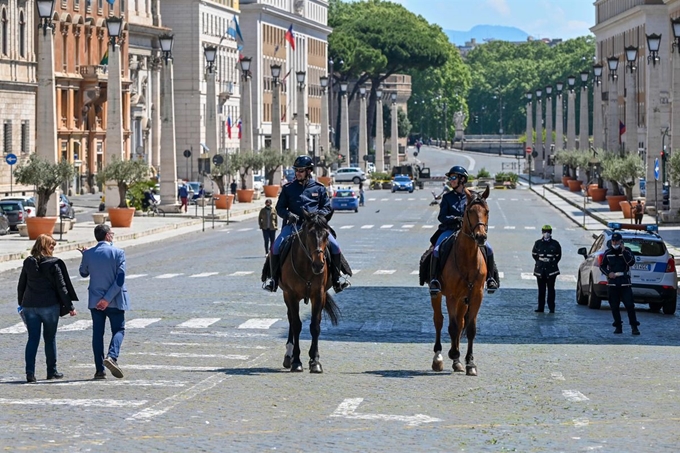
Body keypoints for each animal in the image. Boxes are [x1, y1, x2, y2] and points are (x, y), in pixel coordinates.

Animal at [278, 210, 340, 372]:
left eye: (326, 234)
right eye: (310, 234)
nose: (318, 264)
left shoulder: (318, 295)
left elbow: (315, 326)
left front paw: (315, 360)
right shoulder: (291, 295)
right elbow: (297, 325)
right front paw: (296, 361)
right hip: (286, 295)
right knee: (291, 319)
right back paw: (289, 355)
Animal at [430, 185, 488, 376]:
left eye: (486, 211)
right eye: (469, 211)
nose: (481, 237)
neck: (467, 257)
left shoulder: (476, 295)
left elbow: (469, 328)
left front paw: (469, 362)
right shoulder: (452, 296)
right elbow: (453, 327)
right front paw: (453, 354)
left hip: (464, 299)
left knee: (461, 321)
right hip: (437, 294)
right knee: (439, 320)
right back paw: (439, 357)